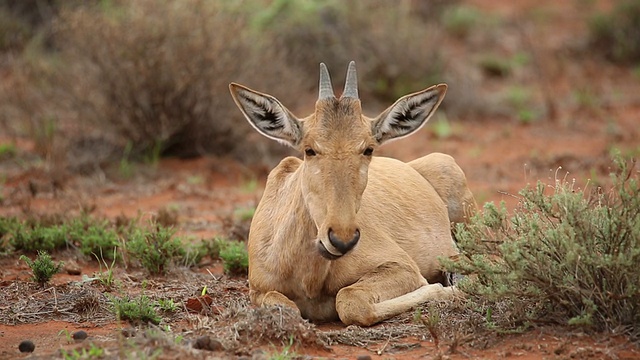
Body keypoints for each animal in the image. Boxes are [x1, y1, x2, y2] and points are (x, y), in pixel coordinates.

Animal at [229, 62, 476, 326]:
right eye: (309, 149)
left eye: (368, 149)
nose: (342, 238)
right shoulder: (259, 290)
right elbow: (287, 308)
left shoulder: (402, 266)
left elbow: (350, 301)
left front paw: (442, 288)